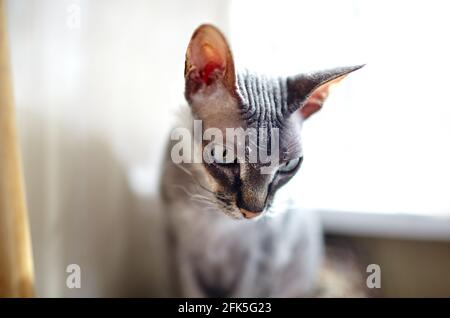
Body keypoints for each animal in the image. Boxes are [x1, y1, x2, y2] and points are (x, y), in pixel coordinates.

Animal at [160, 23, 364, 296]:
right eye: (224, 155)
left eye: (288, 166)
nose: (253, 212)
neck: (215, 224)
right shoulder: (181, 253)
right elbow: (189, 290)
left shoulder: (260, 262)